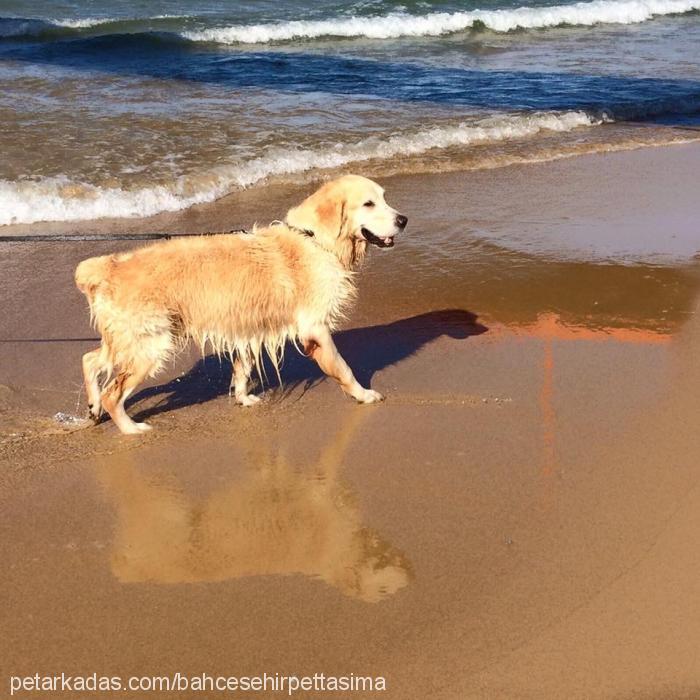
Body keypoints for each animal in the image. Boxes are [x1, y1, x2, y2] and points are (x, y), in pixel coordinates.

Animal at [75, 176, 404, 432]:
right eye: (368, 204)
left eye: (384, 198)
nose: (403, 220)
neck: (314, 240)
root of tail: (108, 268)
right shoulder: (314, 326)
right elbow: (343, 367)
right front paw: (364, 394)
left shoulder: (250, 325)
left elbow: (243, 367)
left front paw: (243, 398)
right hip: (150, 343)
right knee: (113, 392)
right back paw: (130, 428)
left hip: (129, 338)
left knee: (90, 359)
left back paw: (93, 408)